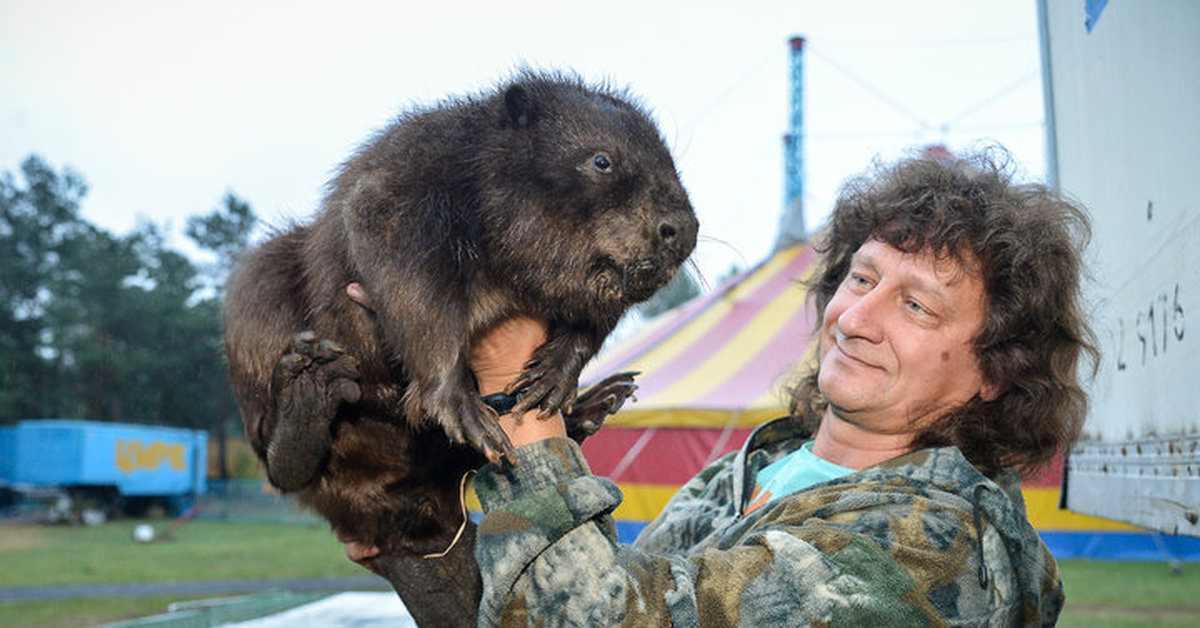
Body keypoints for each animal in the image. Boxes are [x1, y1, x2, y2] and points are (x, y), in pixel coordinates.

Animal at [222, 71, 700, 628]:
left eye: (670, 161)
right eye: (601, 161)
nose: (682, 230)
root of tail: (406, 531)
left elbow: (594, 317)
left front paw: (553, 377)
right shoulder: (403, 193)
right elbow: (411, 290)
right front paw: (463, 407)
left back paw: (594, 405)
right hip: (262, 292)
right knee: (283, 465)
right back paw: (310, 390)